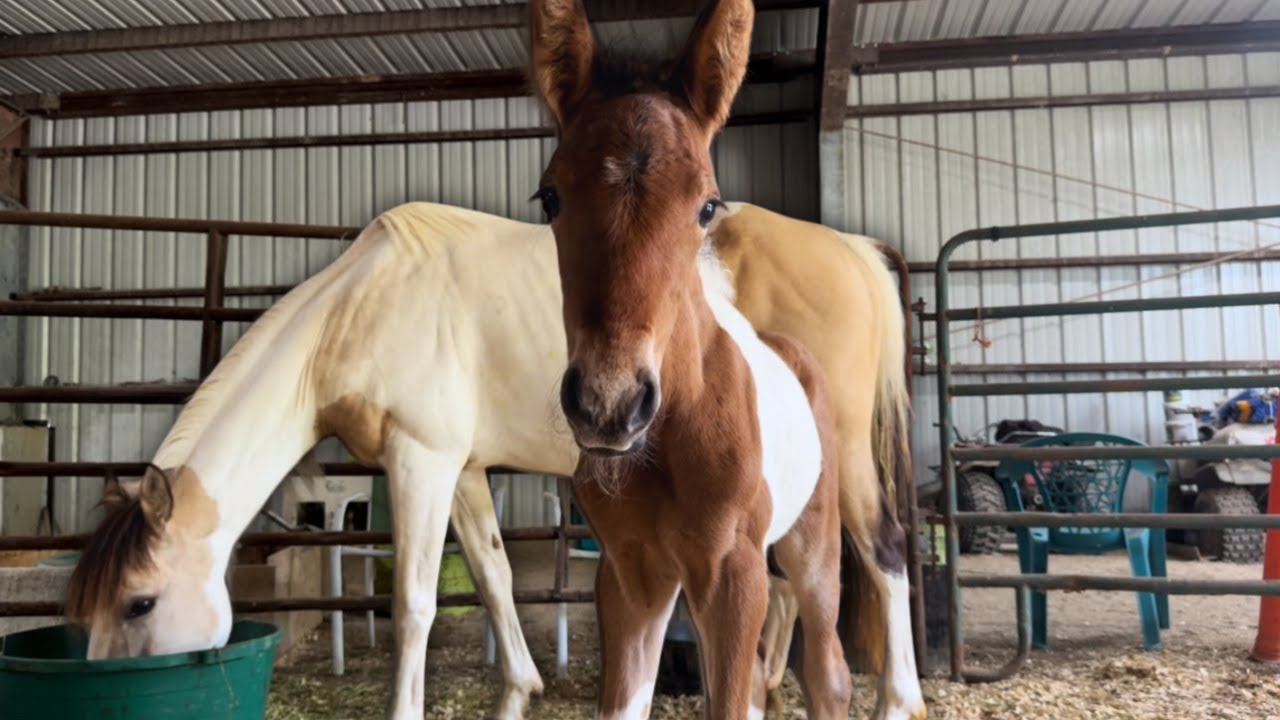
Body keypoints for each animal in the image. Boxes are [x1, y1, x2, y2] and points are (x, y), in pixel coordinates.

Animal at [526, 0, 924, 718]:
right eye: (550, 197)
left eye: (706, 205)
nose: (610, 405)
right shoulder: (629, 578)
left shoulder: (732, 577)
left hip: (820, 530)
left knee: (840, 645)